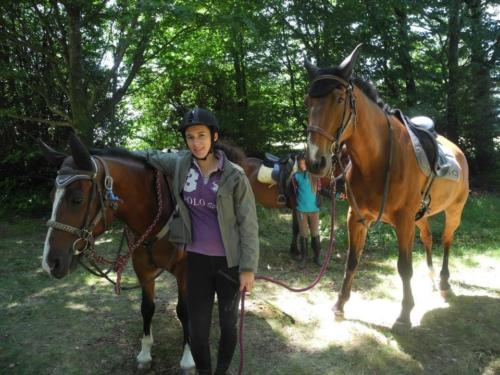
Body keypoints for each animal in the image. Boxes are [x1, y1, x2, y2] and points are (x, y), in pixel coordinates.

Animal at [39, 135, 194, 370]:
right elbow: (147, 308)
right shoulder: (143, 270)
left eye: (77, 199)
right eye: (51, 196)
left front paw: (187, 358)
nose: (50, 263)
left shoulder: (185, 271)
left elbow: (184, 310)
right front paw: (145, 354)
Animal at [302, 44, 470, 328]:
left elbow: (404, 267)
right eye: (308, 102)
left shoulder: (403, 221)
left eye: (339, 100)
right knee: (428, 237)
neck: (378, 160)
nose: (316, 161)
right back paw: (431, 277)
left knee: (447, 239)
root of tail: (458, 152)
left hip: (454, 210)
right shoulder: (356, 218)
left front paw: (405, 314)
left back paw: (444, 281)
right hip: (420, 216)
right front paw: (340, 304)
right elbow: (352, 261)